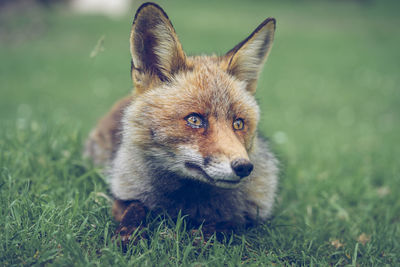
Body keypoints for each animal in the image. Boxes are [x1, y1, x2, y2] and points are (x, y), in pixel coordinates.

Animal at [84, 2, 278, 245]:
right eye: (194, 119)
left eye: (238, 124)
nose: (243, 167)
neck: (185, 202)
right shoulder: (123, 193)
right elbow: (134, 209)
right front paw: (130, 234)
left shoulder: (255, 217)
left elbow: (232, 224)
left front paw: (198, 238)